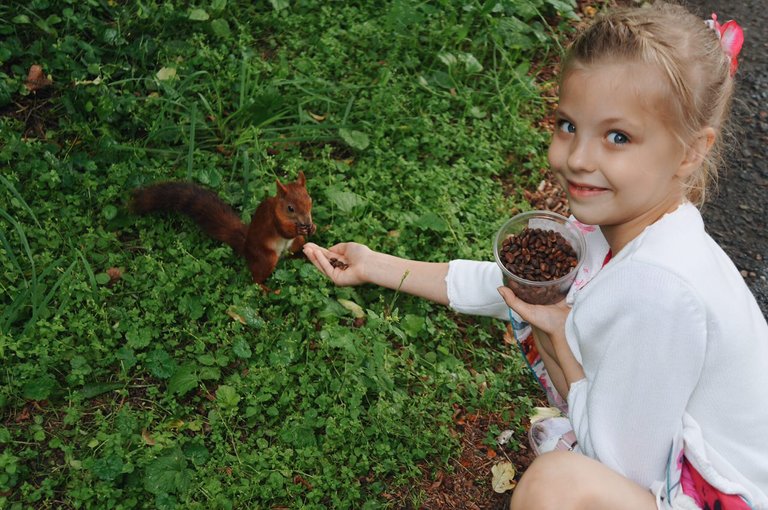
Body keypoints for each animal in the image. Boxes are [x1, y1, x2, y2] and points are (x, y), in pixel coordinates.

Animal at [132, 171, 316, 286]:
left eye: (309, 199)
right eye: (290, 208)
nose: (307, 221)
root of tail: (246, 247)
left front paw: (313, 227)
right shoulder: (273, 220)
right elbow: (284, 231)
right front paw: (299, 229)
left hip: (295, 244)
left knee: (293, 253)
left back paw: (303, 256)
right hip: (266, 258)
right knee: (256, 279)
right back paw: (267, 289)